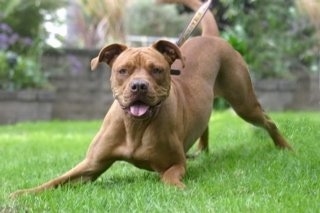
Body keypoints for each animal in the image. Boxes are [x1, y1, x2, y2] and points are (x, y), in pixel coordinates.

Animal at [10, 0, 292, 196]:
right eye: (123, 70)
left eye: (156, 69)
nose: (139, 86)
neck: (135, 126)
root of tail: (211, 37)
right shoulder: (91, 165)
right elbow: (56, 181)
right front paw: (22, 194)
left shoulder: (174, 163)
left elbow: (168, 176)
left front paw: (179, 188)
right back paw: (202, 151)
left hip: (243, 102)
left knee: (268, 121)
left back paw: (285, 148)